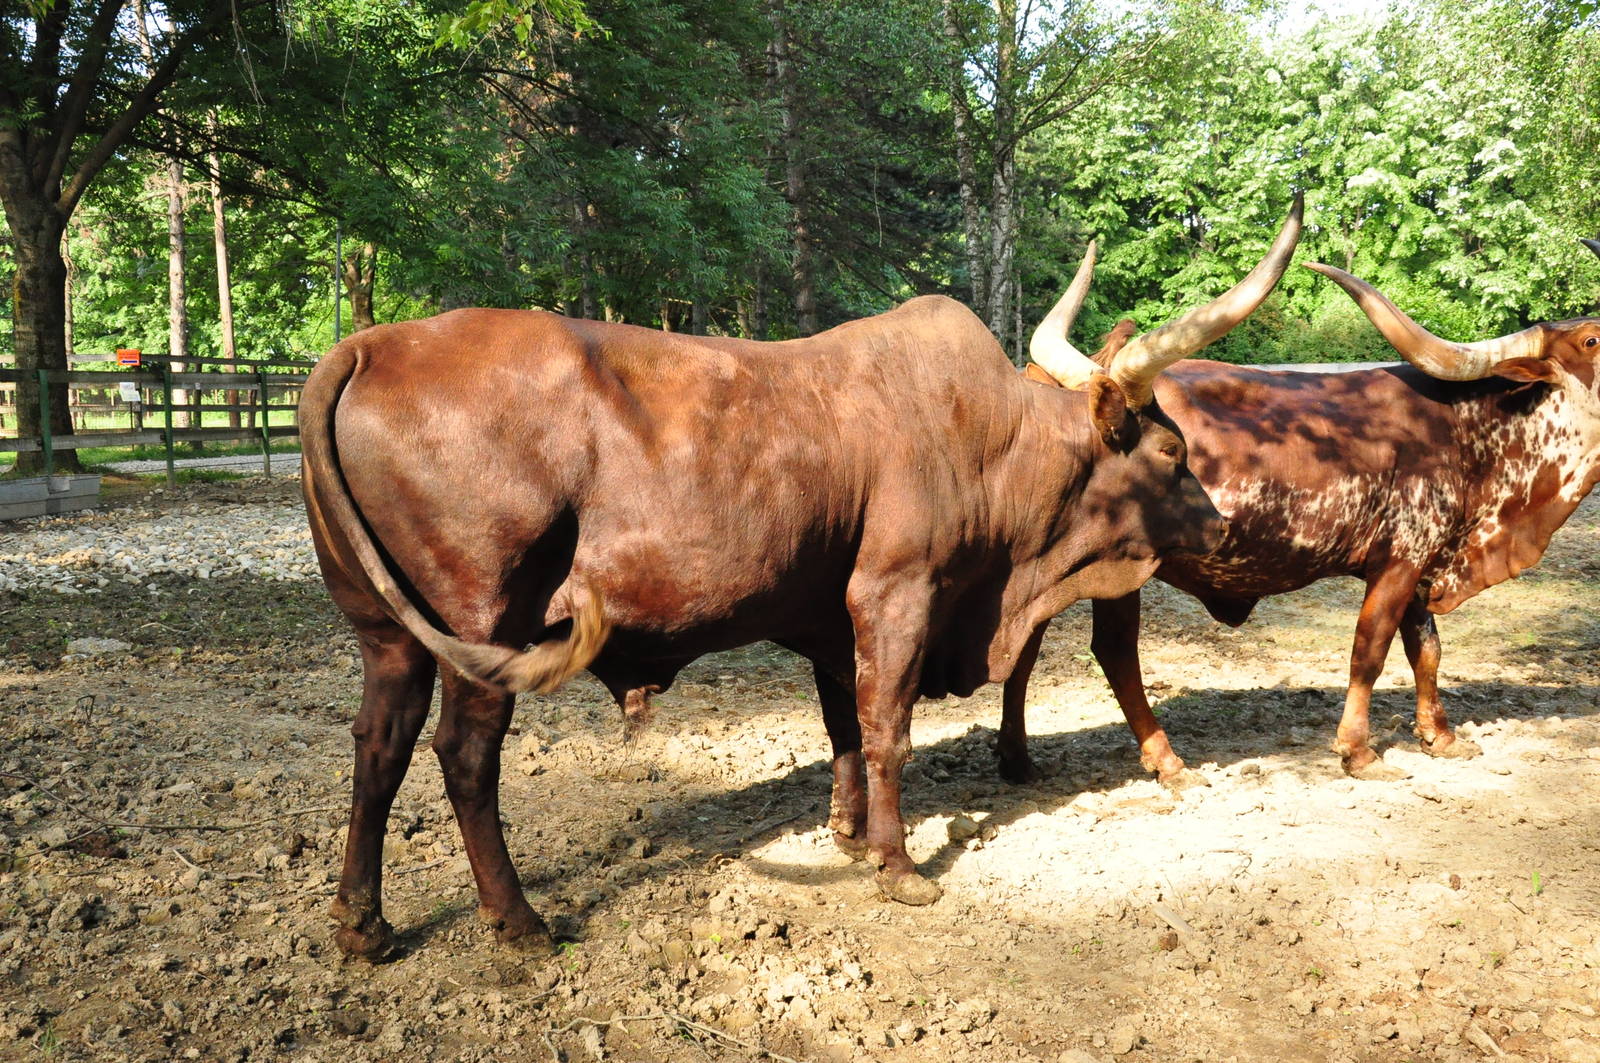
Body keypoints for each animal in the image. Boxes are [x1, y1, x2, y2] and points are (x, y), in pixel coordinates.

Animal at [297, 207, 1307, 958]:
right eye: (1171, 451)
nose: (1222, 524)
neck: (987, 443)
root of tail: (370, 346)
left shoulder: (830, 610)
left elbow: (843, 726)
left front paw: (850, 833)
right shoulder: (896, 593)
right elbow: (888, 727)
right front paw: (900, 866)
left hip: (387, 631)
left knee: (378, 743)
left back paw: (363, 924)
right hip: (485, 619)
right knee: (463, 756)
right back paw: (517, 922)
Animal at [1000, 250, 1600, 786]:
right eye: (1591, 340)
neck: (1467, 427)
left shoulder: (1421, 557)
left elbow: (1425, 649)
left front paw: (1441, 736)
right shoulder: (1400, 559)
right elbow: (1370, 652)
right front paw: (1358, 752)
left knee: (1024, 647)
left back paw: (1017, 759)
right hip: (1121, 569)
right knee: (1115, 652)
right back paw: (1166, 762)